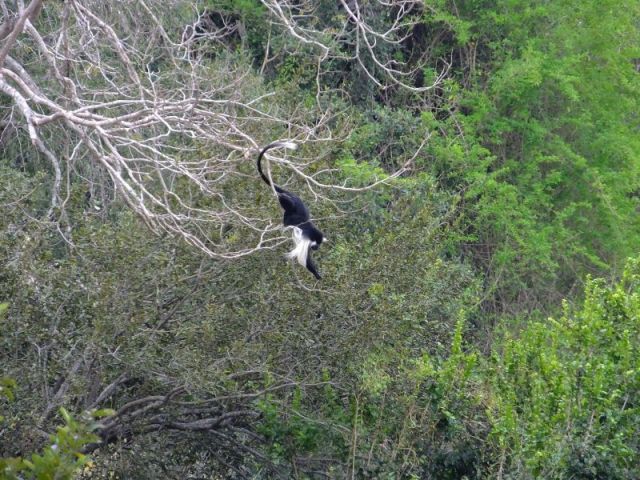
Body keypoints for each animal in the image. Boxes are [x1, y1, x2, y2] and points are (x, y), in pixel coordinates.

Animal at [257, 141, 326, 280]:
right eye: (316, 245)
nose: (317, 249)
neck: (313, 235)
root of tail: (292, 195)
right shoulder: (307, 241)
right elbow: (304, 259)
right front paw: (317, 274)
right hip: (289, 203)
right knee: (286, 202)